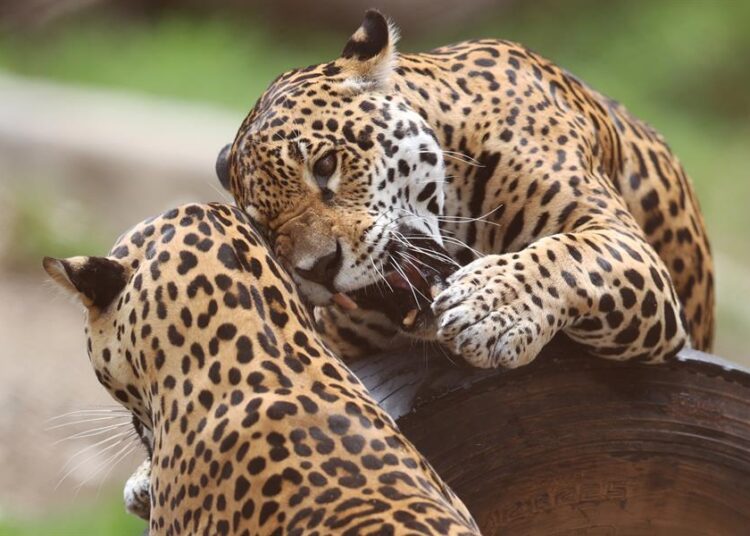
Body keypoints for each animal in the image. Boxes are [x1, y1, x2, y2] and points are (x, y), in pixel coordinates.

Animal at [217, 9, 714, 369]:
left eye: (324, 166)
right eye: (266, 230)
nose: (318, 268)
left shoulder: (628, 246)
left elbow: (569, 254)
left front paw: (491, 308)